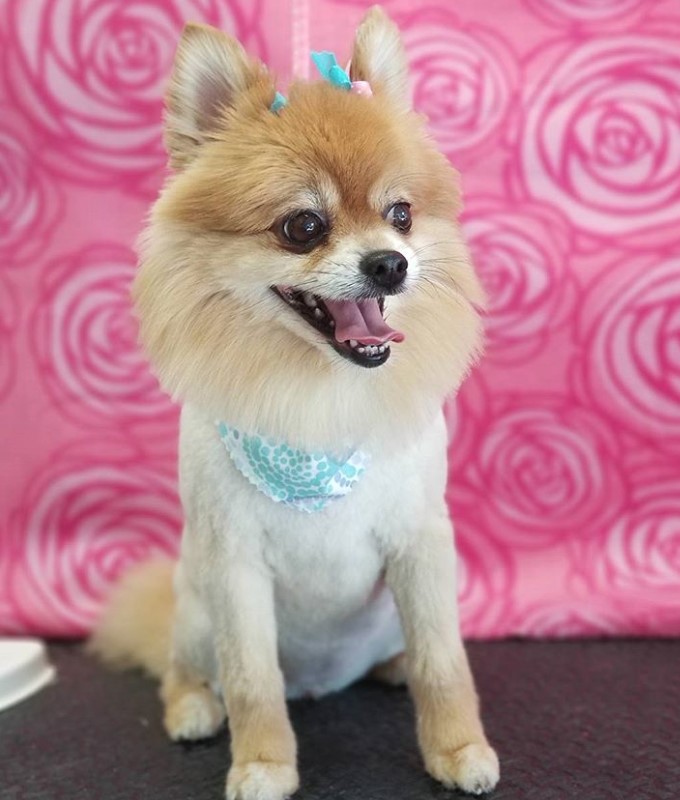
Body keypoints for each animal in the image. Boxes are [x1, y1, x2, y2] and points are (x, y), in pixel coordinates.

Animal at [91, 6, 500, 800]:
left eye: (401, 215)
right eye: (302, 227)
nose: (391, 263)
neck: (321, 400)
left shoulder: (421, 545)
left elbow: (445, 663)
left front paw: (458, 748)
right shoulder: (234, 566)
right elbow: (252, 681)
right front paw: (262, 765)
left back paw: (392, 668)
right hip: (195, 606)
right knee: (185, 669)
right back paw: (193, 707)